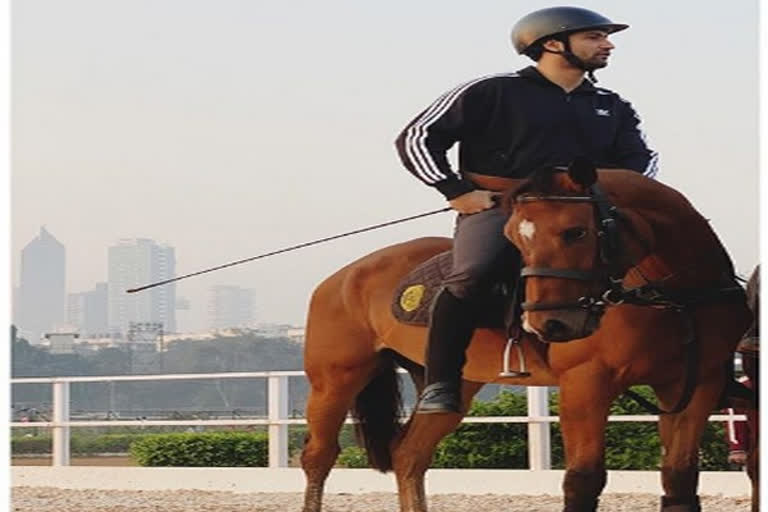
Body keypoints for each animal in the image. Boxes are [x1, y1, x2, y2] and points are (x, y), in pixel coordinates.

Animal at [298, 164, 752, 512]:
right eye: (515, 238)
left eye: (576, 232)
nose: (548, 325)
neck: (674, 298)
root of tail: (342, 278)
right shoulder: (586, 383)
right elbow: (583, 481)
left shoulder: (694, 386)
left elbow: (679, 479)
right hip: (335, 381)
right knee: (319, 457)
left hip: (449, 383)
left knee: (409, 455)